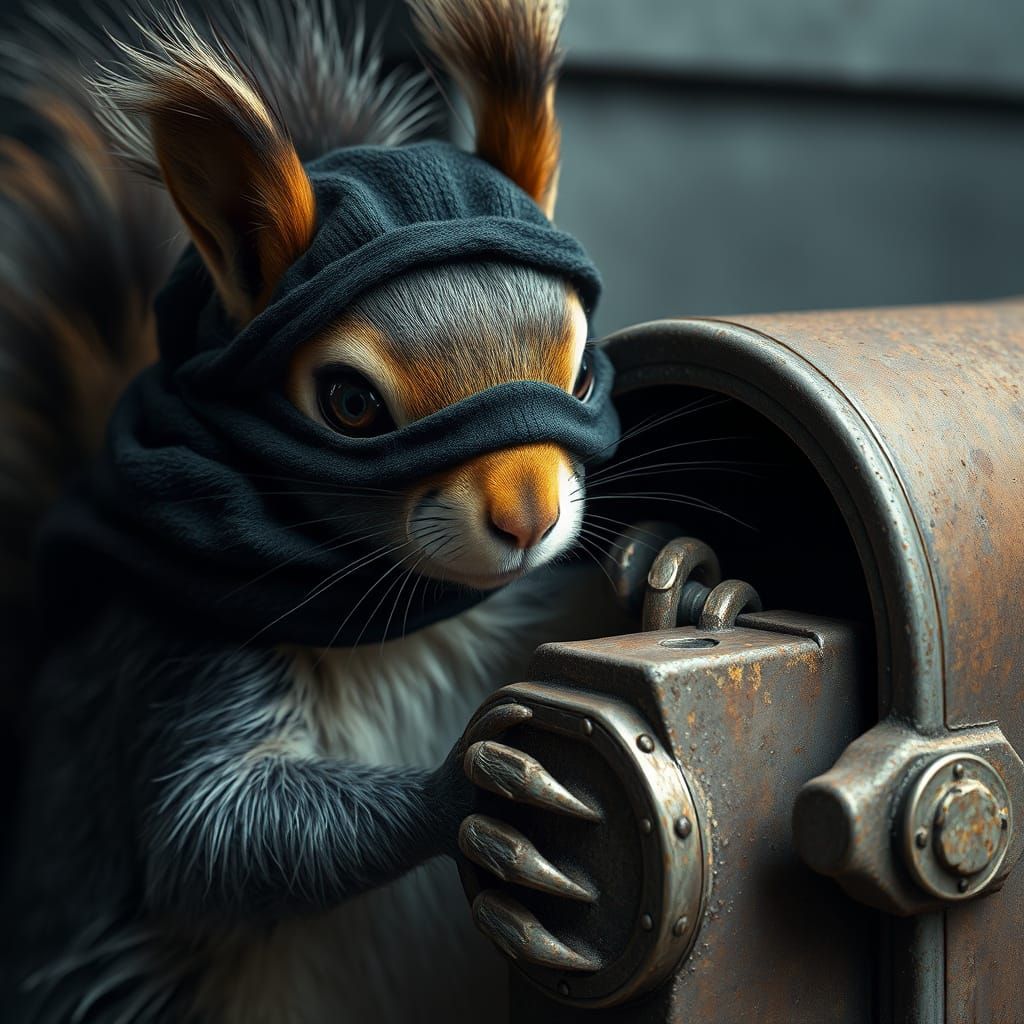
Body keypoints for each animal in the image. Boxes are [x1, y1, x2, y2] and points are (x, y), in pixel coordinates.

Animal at [0, 1, 636, 1021]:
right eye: (349, 403)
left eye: (579, 373)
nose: (529, 521)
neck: (404, 612)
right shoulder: (183, 655)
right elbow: (210, 832)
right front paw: (474, 785)